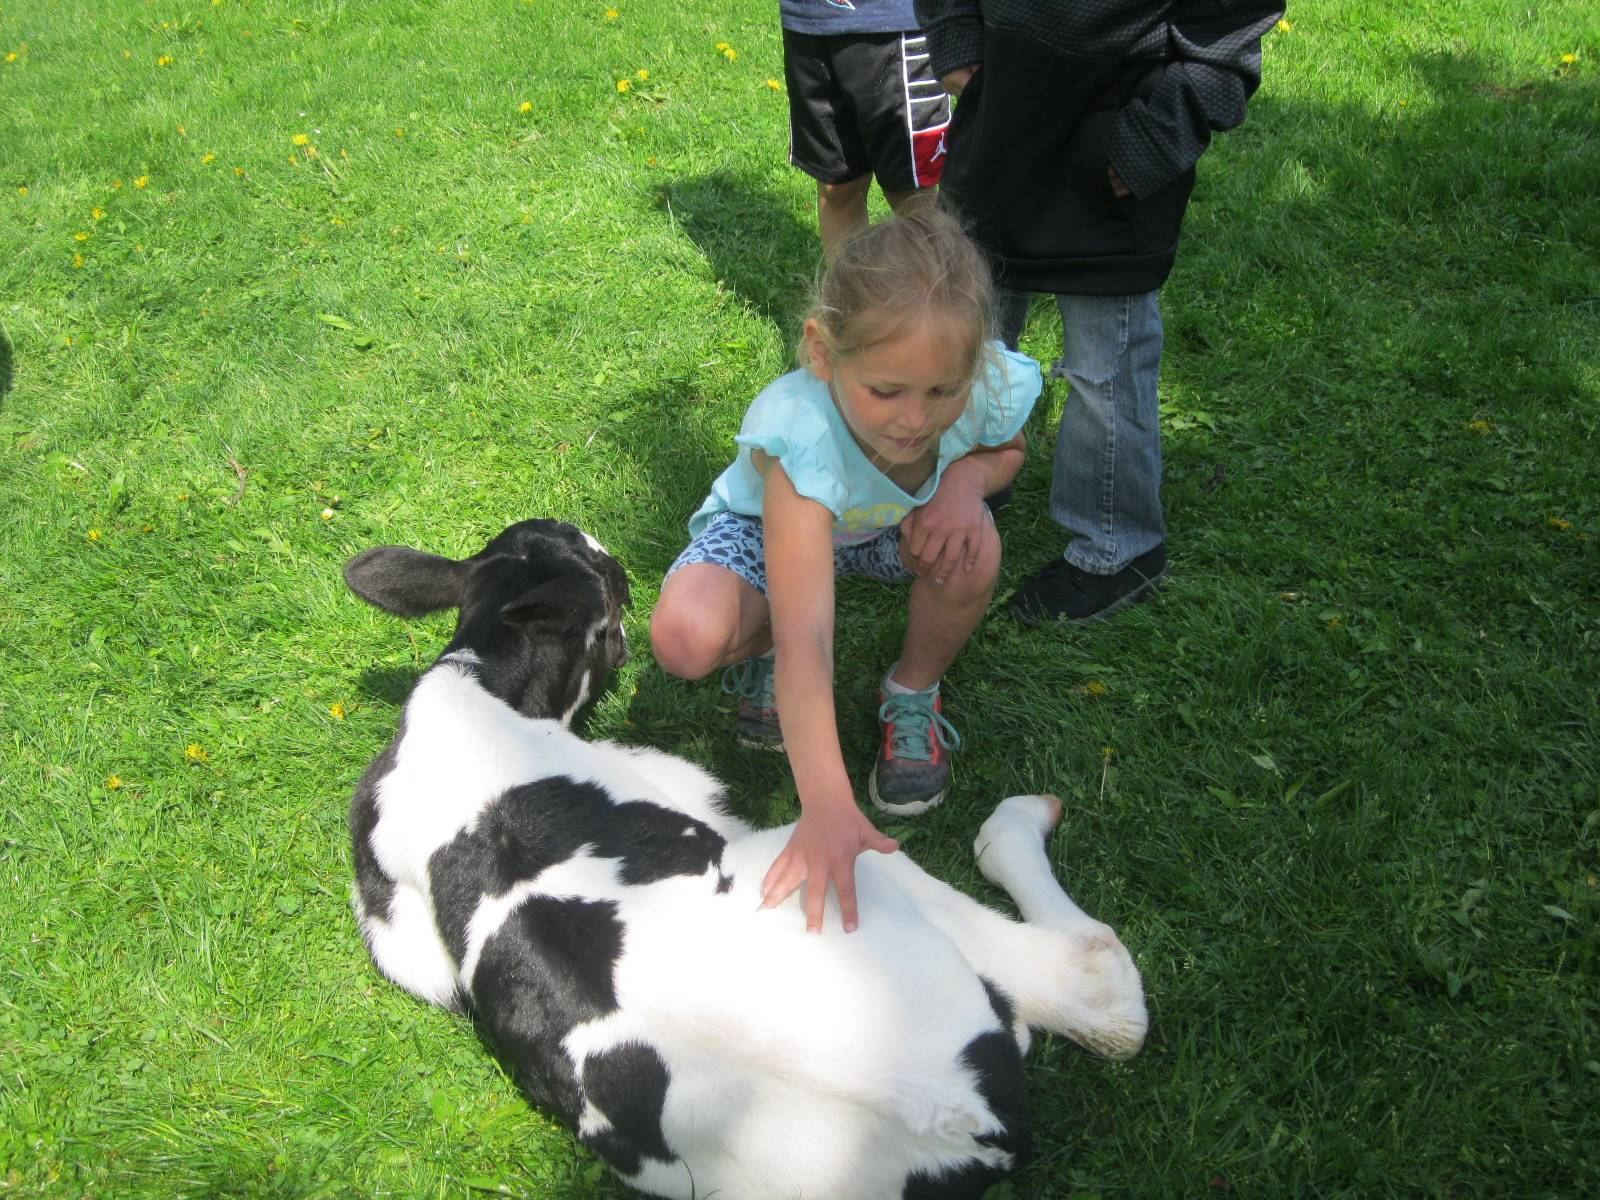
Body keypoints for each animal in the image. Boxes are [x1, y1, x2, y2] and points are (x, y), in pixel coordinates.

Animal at [347, 518, 1152, 1200]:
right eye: (607, 578)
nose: (623, 569)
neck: (478, 685)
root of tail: (958, 1114)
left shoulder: (394, 920)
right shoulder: (685, 785)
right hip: (837, 859)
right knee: (1099, 989)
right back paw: (1022, 823)